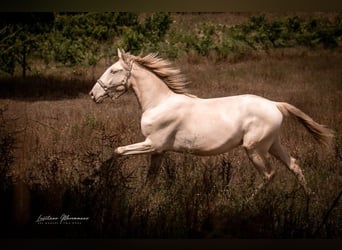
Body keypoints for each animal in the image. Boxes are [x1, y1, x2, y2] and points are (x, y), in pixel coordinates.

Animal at [89, 48, 332, 197]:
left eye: (114, 70)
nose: (93, 94)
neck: (159, 103)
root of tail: (275, 104)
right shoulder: (159, 151)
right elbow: (150, 177)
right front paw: (142, 198)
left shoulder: (153, 144)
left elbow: (118, 150)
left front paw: (91, 179)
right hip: (273, 144)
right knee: (294, 165)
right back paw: (310, 198)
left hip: (255, 148)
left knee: (269, 174)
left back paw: (246, 201)